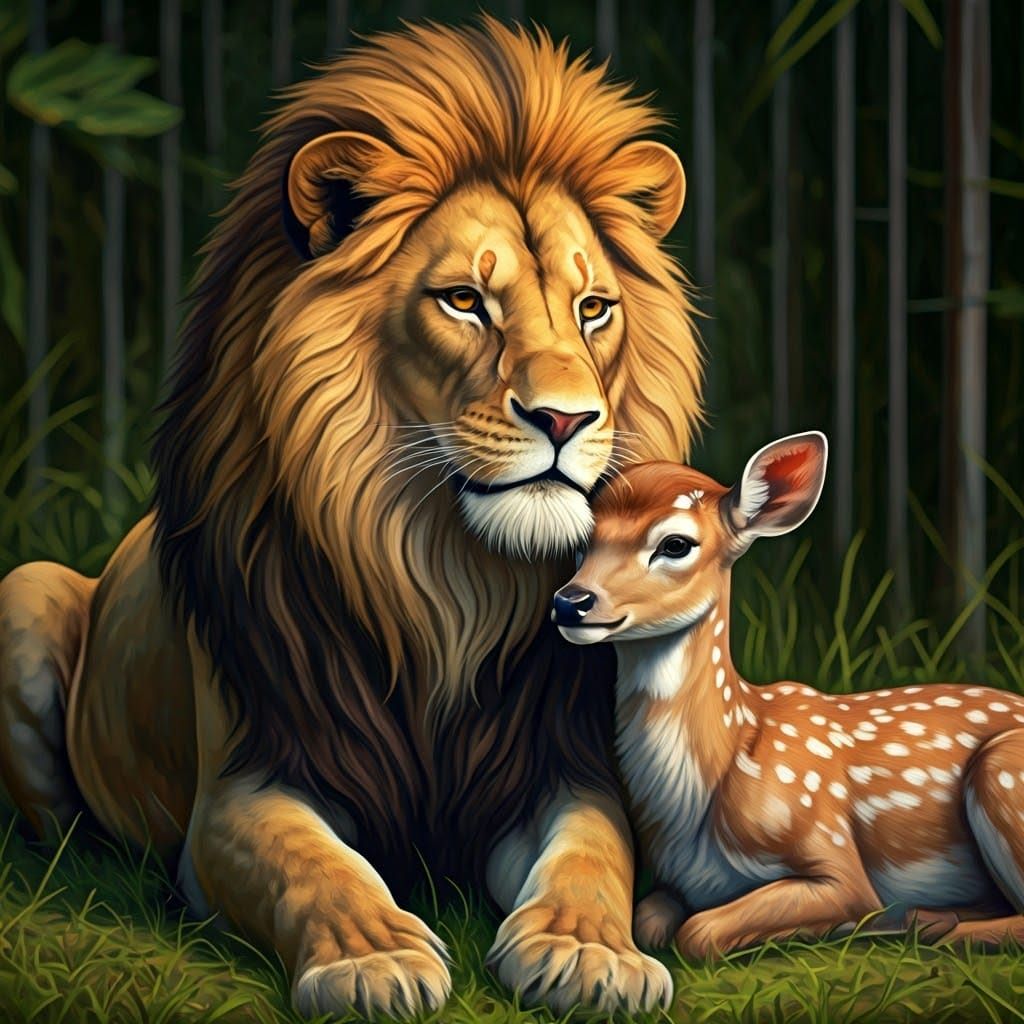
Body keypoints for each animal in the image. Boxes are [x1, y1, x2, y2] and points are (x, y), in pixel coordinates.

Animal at [0, 18, 702, 1020]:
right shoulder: (246, 781)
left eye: (593, 308)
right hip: (24, 591)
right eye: (464, 300)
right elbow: (314, 865)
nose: (567, 419)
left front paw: (586, 949)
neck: (445, 580)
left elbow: (594, 855)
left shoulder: (557, 766)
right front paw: (374, 959)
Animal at [552, 431, 1024, 959]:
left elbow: (698, 933)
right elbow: (649, 920)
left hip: (1004, 774)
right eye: (583, 542)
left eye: (675, 544)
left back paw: (922, 924)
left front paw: (850, 924)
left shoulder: (835, 856)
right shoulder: (676, 882)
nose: (570, 602)